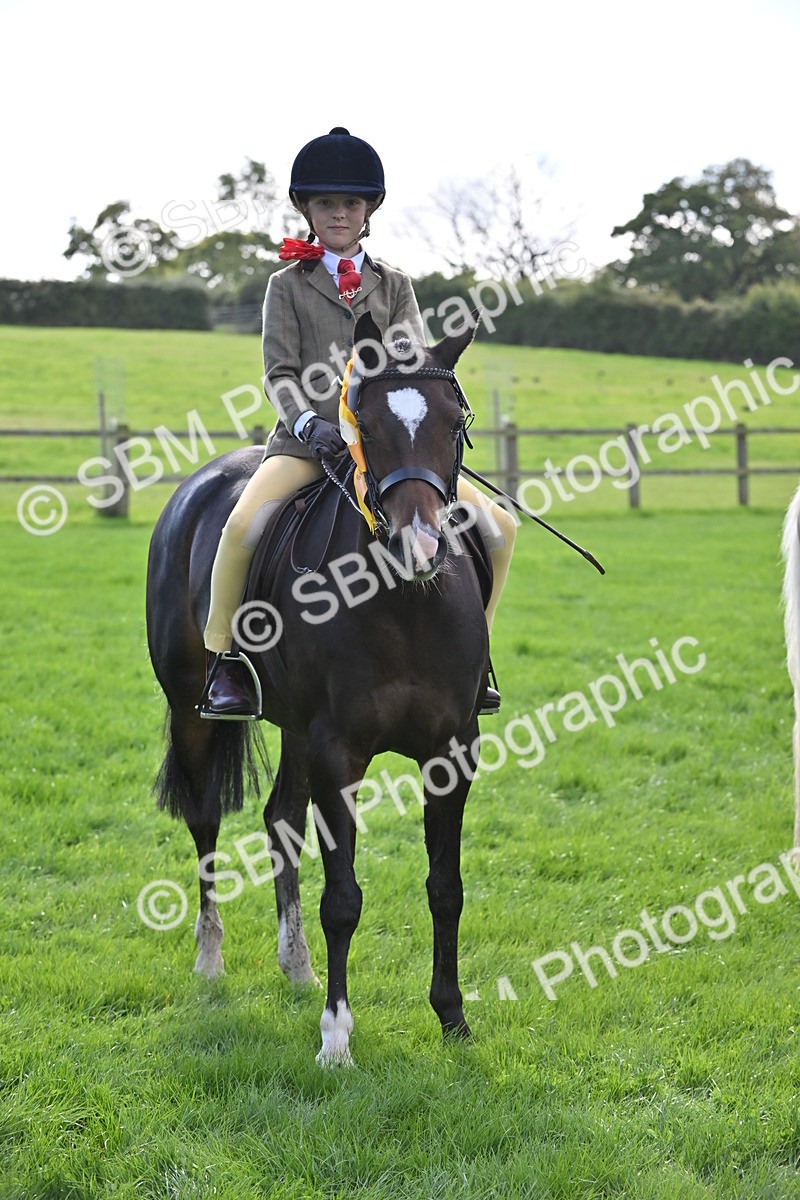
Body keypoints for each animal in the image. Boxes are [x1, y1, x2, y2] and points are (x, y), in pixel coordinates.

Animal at [145, 311, 495, 1065]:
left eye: (454, 423)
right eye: (366, 423)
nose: (422, 546)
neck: (404, 602)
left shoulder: (451, 752)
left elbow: (445, 888)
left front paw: (452, 1018)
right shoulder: (341, 752)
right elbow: (344, 898)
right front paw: (336, 1037)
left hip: (297, 729)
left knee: (281, 820)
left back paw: (297, 965)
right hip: (196, 713)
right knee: (206, 819)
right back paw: (211, 959)